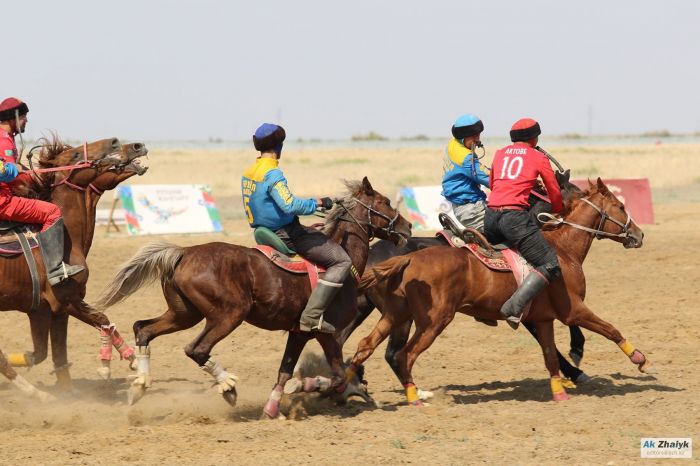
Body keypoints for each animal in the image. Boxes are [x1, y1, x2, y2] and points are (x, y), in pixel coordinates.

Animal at [95, 177, 412, 416]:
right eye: (384, 202)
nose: (407, 227)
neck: (345, 258)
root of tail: (183, 252)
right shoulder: (327, 333)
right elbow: (336, 377)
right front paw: (308, 387)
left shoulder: (298, 333)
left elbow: (285, 371)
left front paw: (272, 409)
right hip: (228, 315)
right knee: (196, 349)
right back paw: (228, 387)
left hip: (184, 314)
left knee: (144, 329)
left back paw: (140, 385)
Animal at [348, 178, 652, 404]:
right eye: (620, 205)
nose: (639, 234)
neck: (562, 248)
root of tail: (408, 259)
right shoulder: (572, 310)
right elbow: (609, 329)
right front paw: (640, 360)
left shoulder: (542, 318)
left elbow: (550, 354)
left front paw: (562, 385)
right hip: (431, 322)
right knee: (402, 355)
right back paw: (413, 394)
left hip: (394, 314)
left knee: (367, 346)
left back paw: (349, 386)